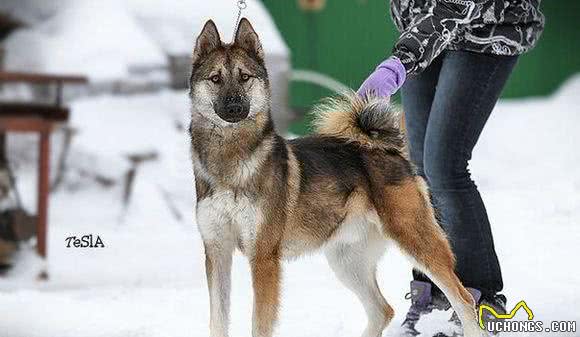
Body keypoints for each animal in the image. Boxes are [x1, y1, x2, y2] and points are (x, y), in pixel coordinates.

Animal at [189, 17, 480, 336]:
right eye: (215, 78)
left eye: (244, 77)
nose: (233, 106)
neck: (229, 160)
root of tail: (385, 147)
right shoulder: (216, 252)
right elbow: (218, 320)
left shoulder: (264, 258)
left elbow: (259, 325)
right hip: (346, 259)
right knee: (383, 309)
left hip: (415, 239)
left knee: (464, 300)